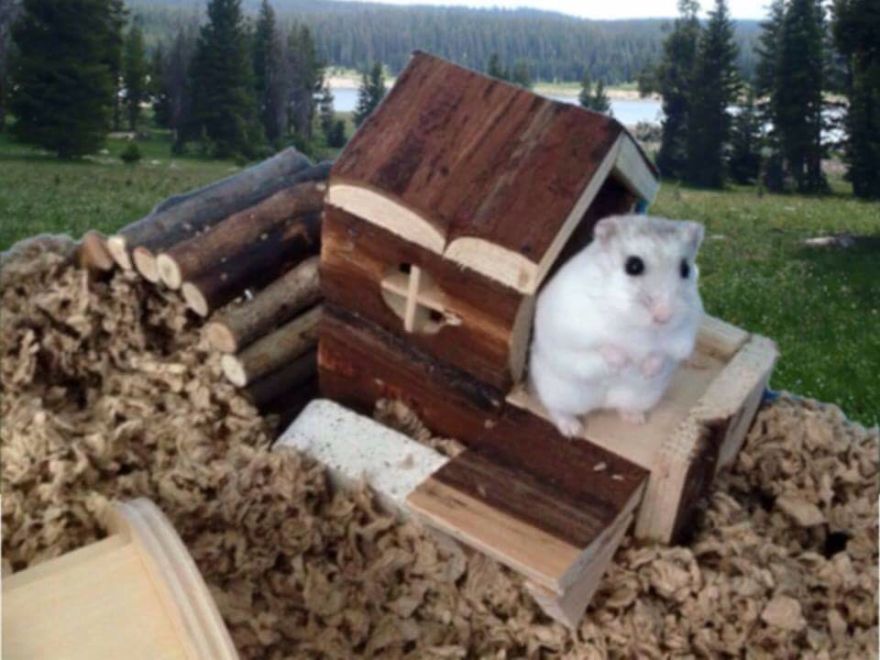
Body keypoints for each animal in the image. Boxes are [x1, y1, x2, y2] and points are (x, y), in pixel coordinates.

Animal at [529, 214, 705, 437]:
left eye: (686, 269)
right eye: (633, 266)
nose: (663, 316)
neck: (635, 325)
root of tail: (603, 403)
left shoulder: (683, 336)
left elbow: (662, 353)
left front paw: (646, 370)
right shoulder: (575, 328)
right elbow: (604, 346)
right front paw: (624, 364)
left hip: (642, 396)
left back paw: (636, 419)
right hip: (558, 392)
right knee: (556, 409)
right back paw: (573, 430)